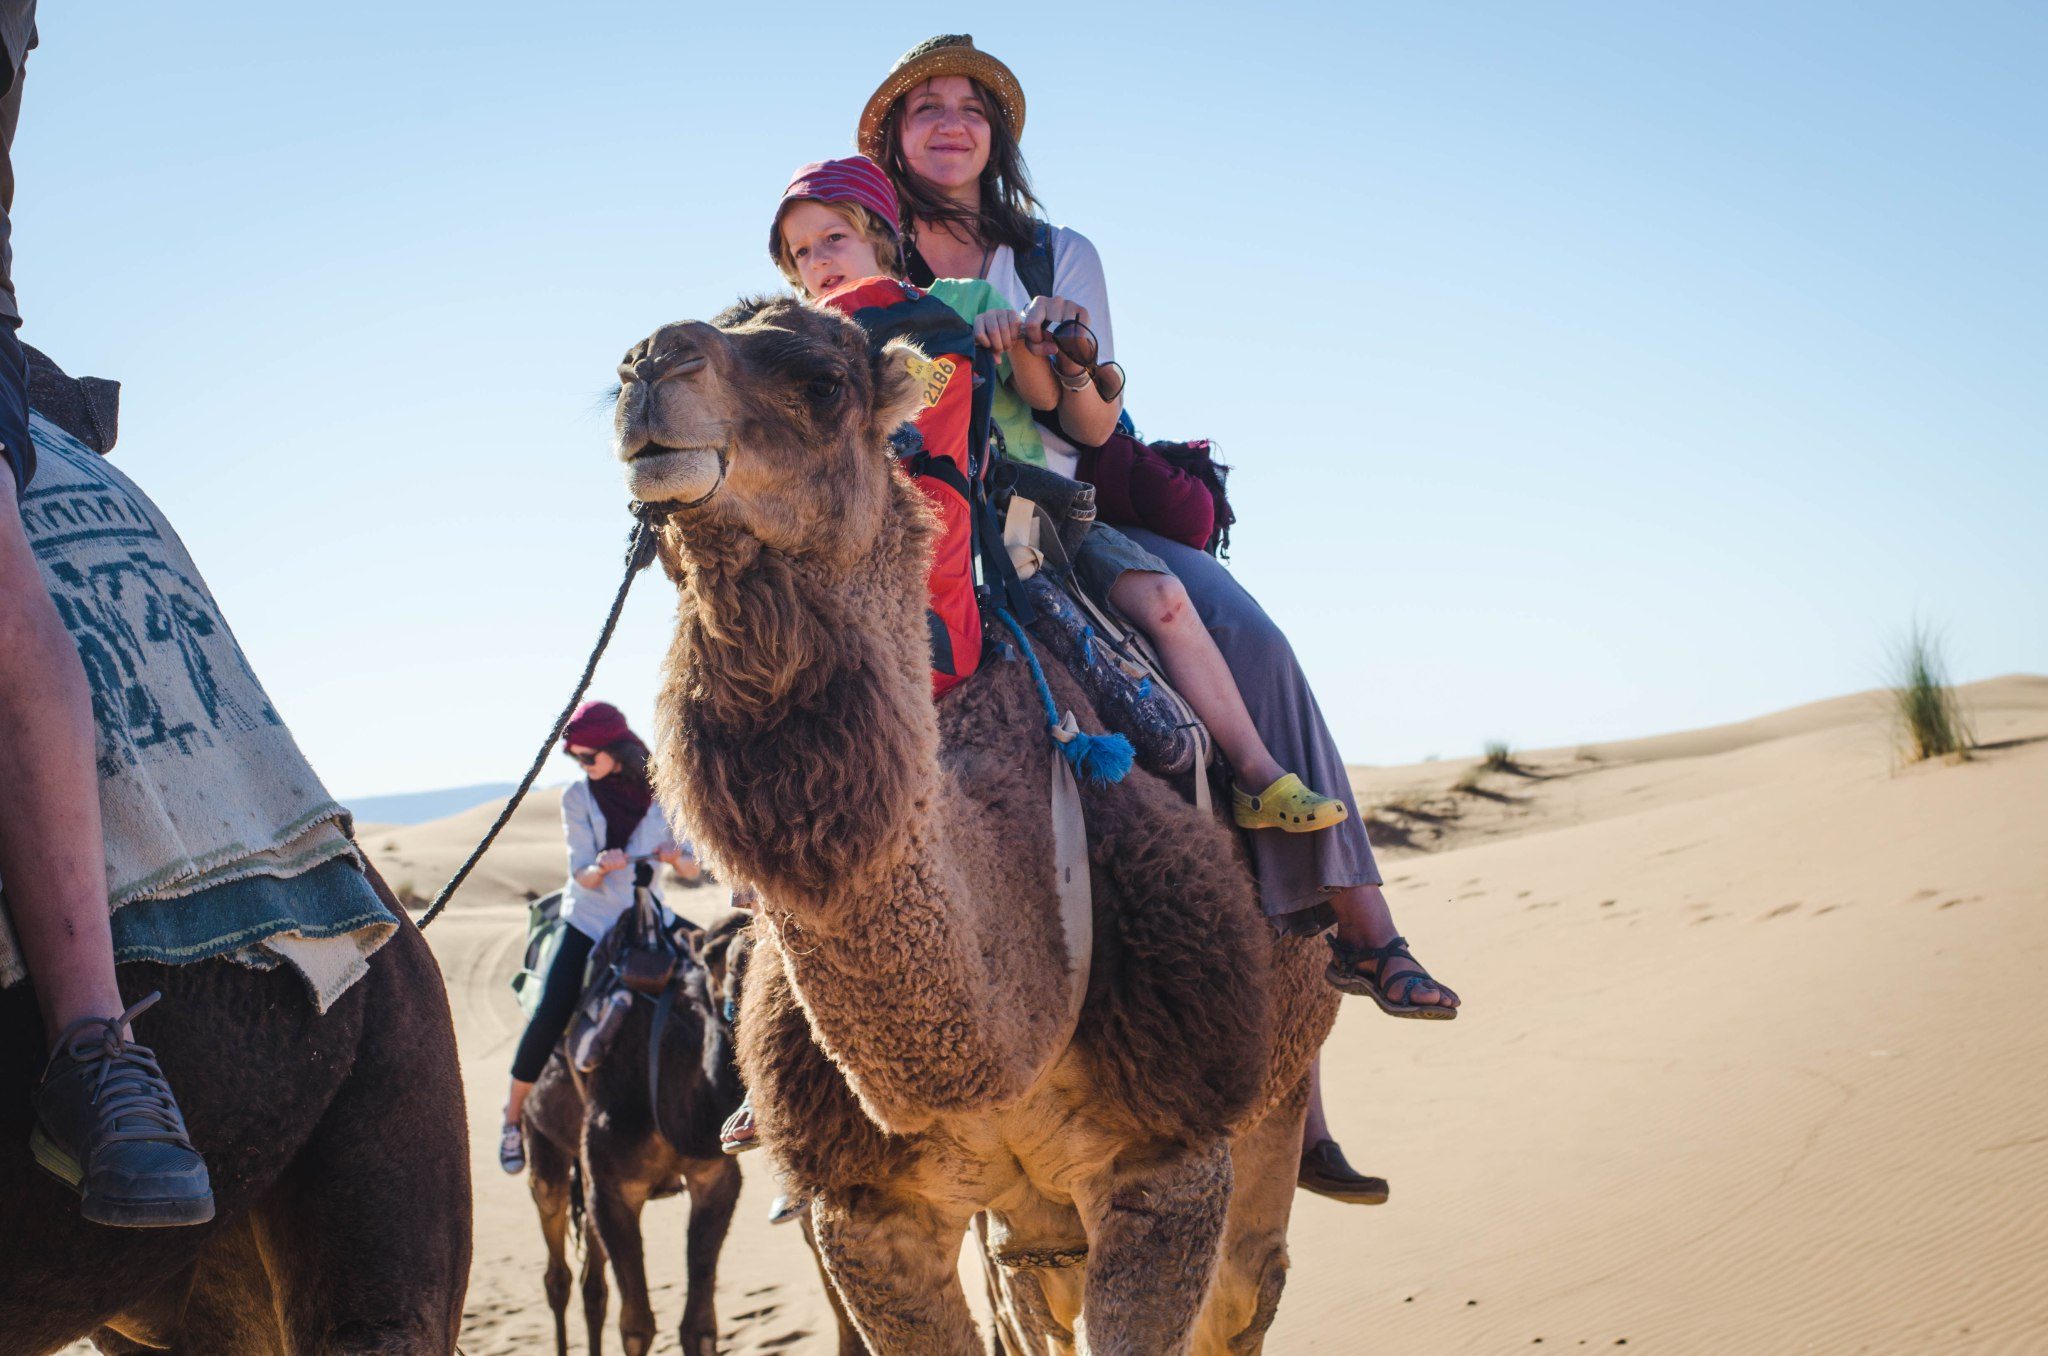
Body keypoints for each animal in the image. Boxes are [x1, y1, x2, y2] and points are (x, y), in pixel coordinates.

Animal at [524, 909, 749, 1356]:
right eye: (712, 956)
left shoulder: (714, 1179)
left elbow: (699, 1326)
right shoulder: (614, 1190)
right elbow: (637, 1326)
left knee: (593, 1287)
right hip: (541, 1139)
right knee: (557, 1273)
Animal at [610, 301, 1343, 1356]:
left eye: (821, 381)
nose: (647, 365)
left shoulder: (1169, 1160)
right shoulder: (867, 1211)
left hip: (1277, 1088)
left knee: (1247, 1284)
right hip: (1028, 1232)